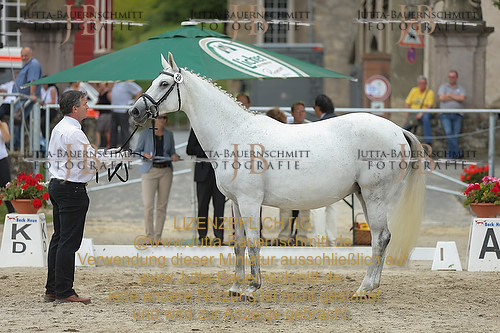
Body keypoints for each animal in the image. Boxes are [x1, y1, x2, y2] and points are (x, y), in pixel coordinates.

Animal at [130, 52, 426, 298]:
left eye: (164, 84)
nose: (135, 111)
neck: (234, 132)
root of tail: (397, 130)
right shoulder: (235, 202)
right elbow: (238, 243)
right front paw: (235, 287)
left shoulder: (250, 201)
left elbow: (253, 242)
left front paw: (252, 288)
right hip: (364, 195)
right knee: (379, 237)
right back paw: (370, 286)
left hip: (375, 196)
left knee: (382, 237)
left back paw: (364, 289)